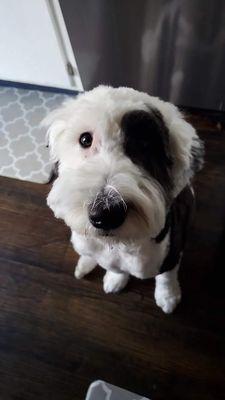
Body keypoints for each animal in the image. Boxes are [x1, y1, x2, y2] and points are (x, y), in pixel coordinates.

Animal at [43, 86, 203, 314]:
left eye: (145, 145)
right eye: (85, 139)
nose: (105, 213)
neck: (119, 245)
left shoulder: (173, 251)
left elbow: (166, 276)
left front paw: (168, 296)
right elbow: (115, 268)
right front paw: (115, 279)